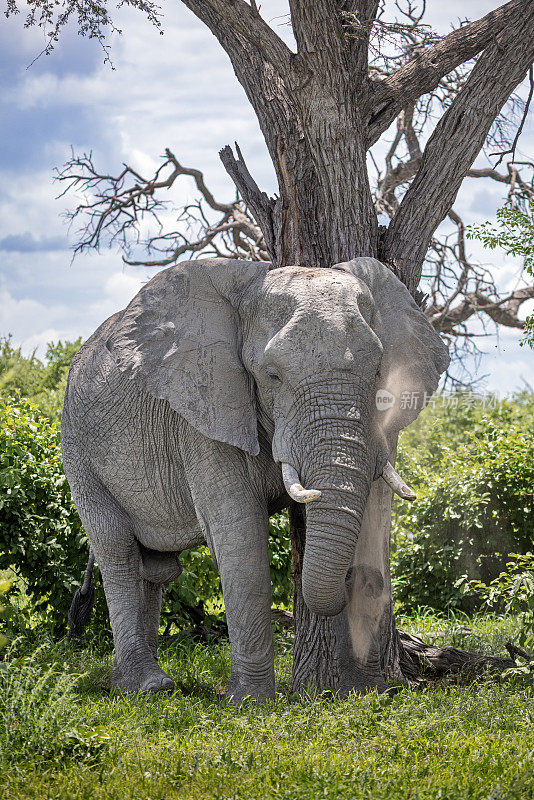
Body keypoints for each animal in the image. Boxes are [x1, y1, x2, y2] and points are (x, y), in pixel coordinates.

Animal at [60, 256, 450, 700]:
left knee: (156, 569)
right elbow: (240, 535)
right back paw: (145, 687)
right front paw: (250, 702)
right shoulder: (205, 408)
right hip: (78, 448)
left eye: (379, 370)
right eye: (271, 375)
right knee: (116, 550)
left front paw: (361, 691)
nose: (352, 581)